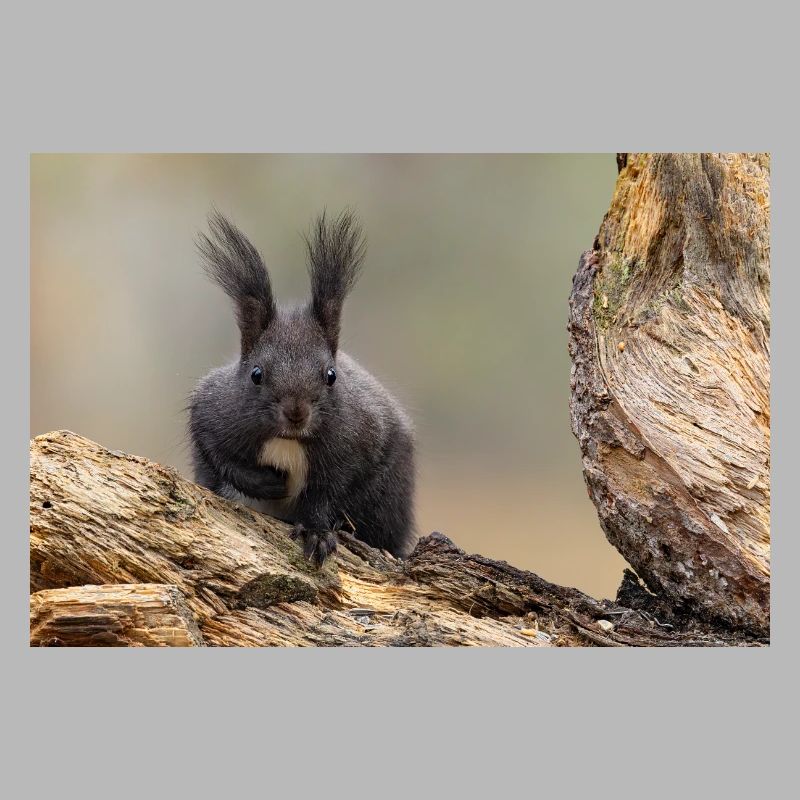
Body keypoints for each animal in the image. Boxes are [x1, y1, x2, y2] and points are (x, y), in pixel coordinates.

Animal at [188, 209, 416, 566]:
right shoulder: (211, 411)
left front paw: (317, 533)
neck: (288, 440)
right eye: (256, 374)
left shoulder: (359, 441)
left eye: (331, 375)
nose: (296, 413)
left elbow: (329, 491)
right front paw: (268, 484)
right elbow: (217, 454)